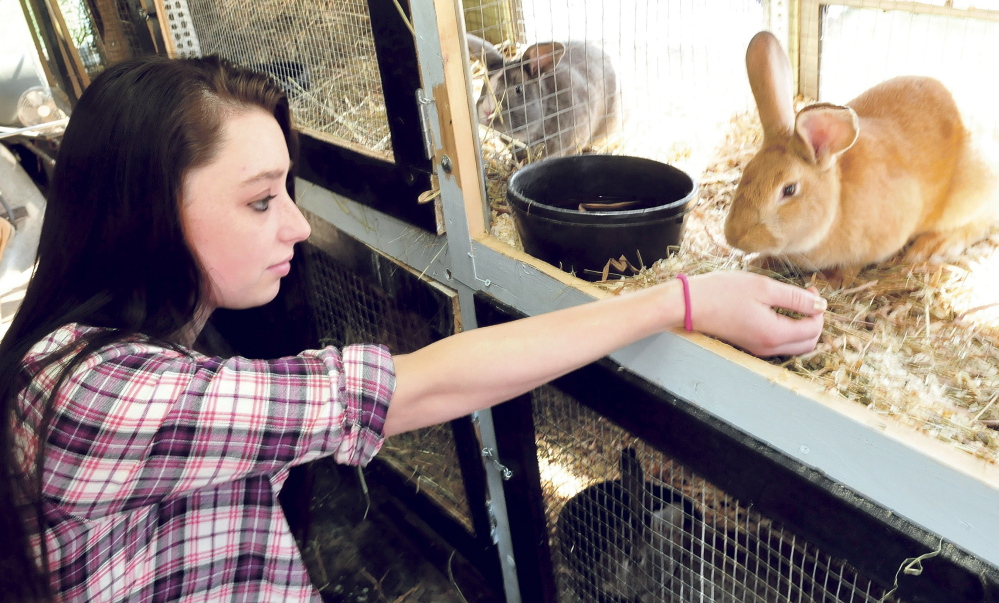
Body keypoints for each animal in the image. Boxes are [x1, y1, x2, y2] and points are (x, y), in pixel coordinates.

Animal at [728, 30, 999, 272]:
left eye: (789, 190)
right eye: (746, 171)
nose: (733, 237)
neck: (836, 204)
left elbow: (852, 267)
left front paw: (832, 281)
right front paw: (756, 261)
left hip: (973, 192)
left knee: (979, 223)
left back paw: (933, 247)